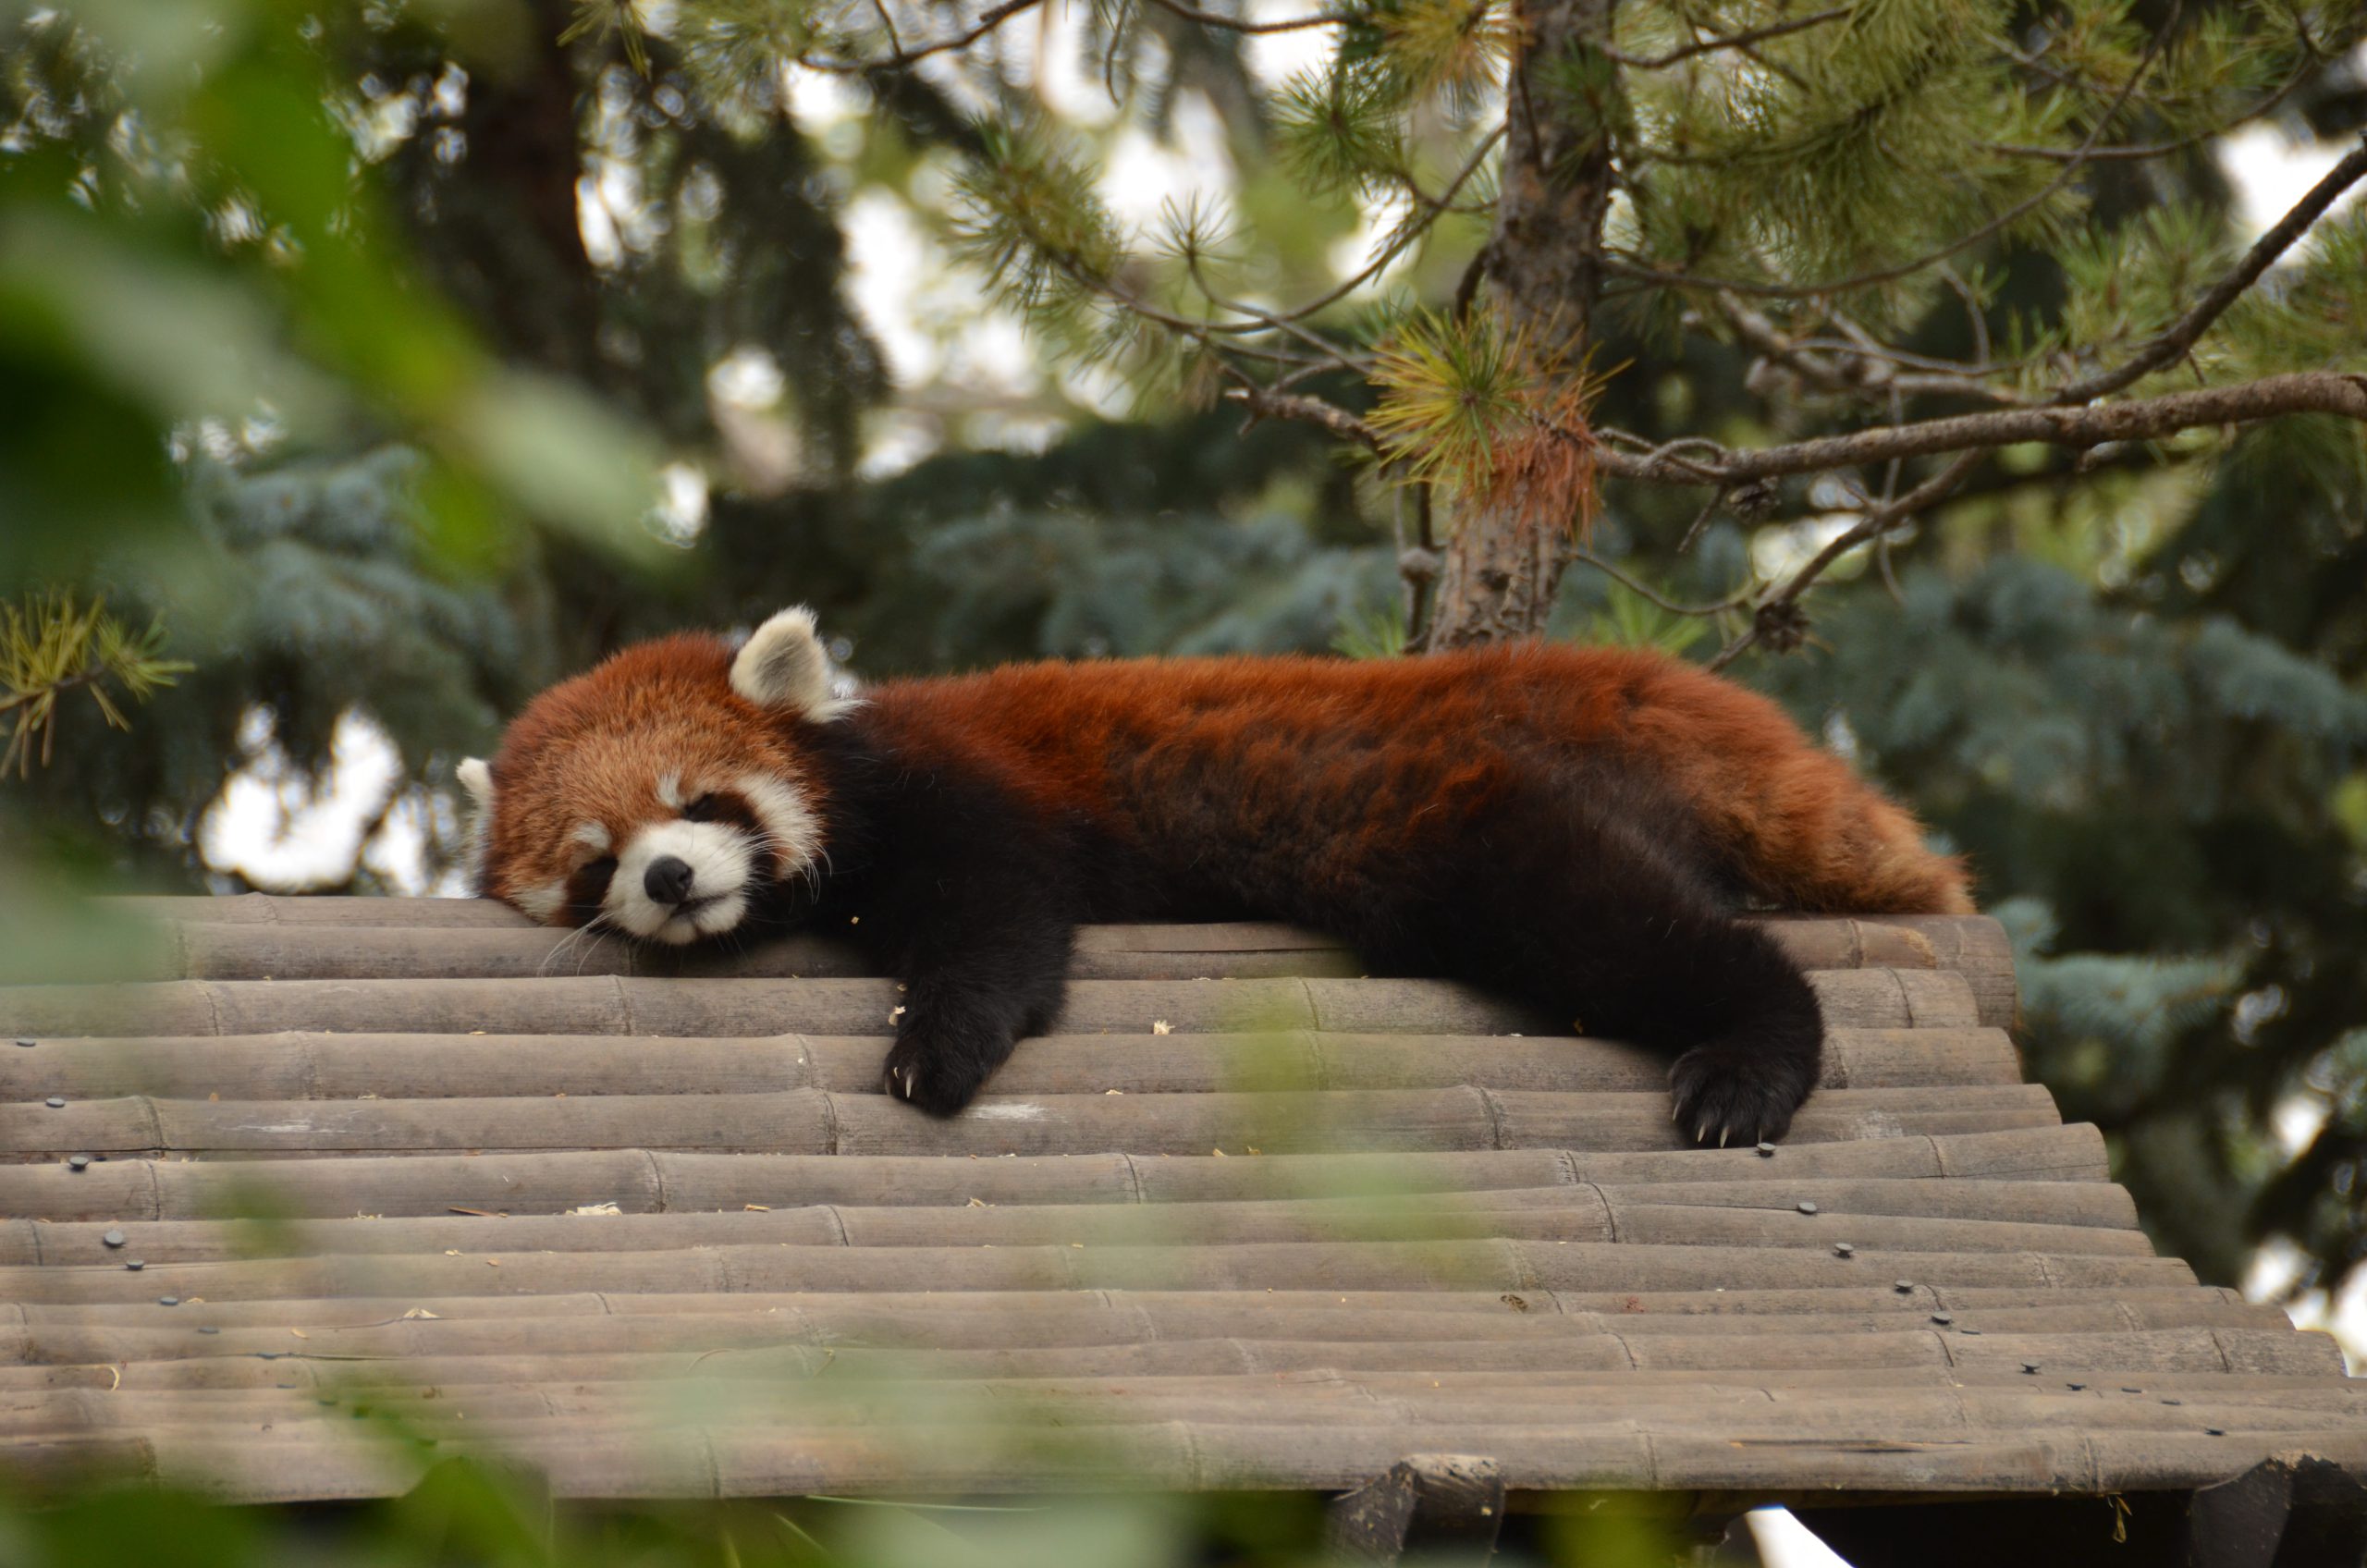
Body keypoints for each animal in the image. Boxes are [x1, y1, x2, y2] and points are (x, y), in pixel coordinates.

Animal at [466, 606, 1979, 1151]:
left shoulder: (964, 794)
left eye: (696, 802)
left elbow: (1002, 919)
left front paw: (936, 1046)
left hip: (1477, 826)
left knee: (1624, 931)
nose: (670, 878)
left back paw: (1748, 1062)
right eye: (596, 861)